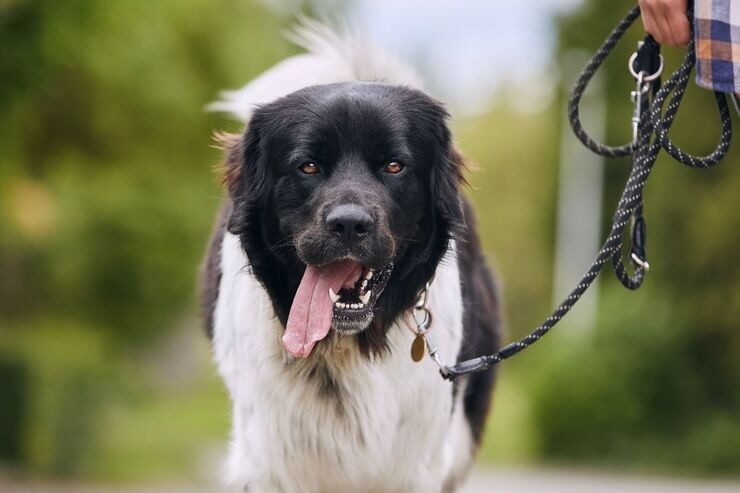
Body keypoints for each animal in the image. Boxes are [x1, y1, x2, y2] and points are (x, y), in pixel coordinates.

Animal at [201, 21, 502, 490]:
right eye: (307, 166)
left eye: (394, 166)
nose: (348, 224)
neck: (346, 346)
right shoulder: (268, 461)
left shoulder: (418, 464)